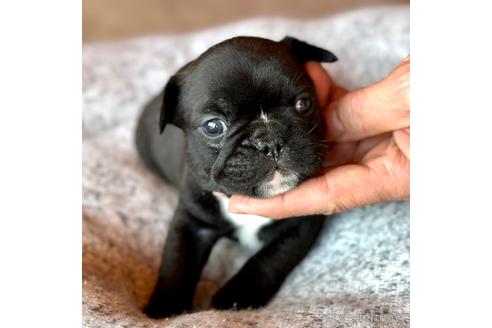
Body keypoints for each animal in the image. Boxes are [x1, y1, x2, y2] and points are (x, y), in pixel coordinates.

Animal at [137, 36, 338, 318]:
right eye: (213, 126)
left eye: (304, 103)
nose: (270, 142)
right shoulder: (192, 221)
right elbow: (177, 262)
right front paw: (164, 308)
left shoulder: (302, 222)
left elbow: (272, 257)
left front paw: (236, 295)